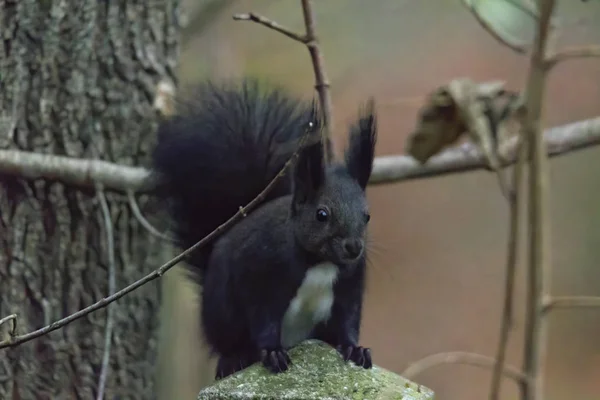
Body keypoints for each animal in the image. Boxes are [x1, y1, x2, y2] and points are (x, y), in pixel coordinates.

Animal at [152, 79, 378, 382]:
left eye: (367, 216)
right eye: (322, 214)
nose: (354, 248)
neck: (320, 263)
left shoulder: (350, 284)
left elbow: (348, 321)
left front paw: (355, 349)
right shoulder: (263, 275)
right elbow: (264, 320)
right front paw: (272, 353)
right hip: (222, 311)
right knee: (231, 342)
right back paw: (232, 360)